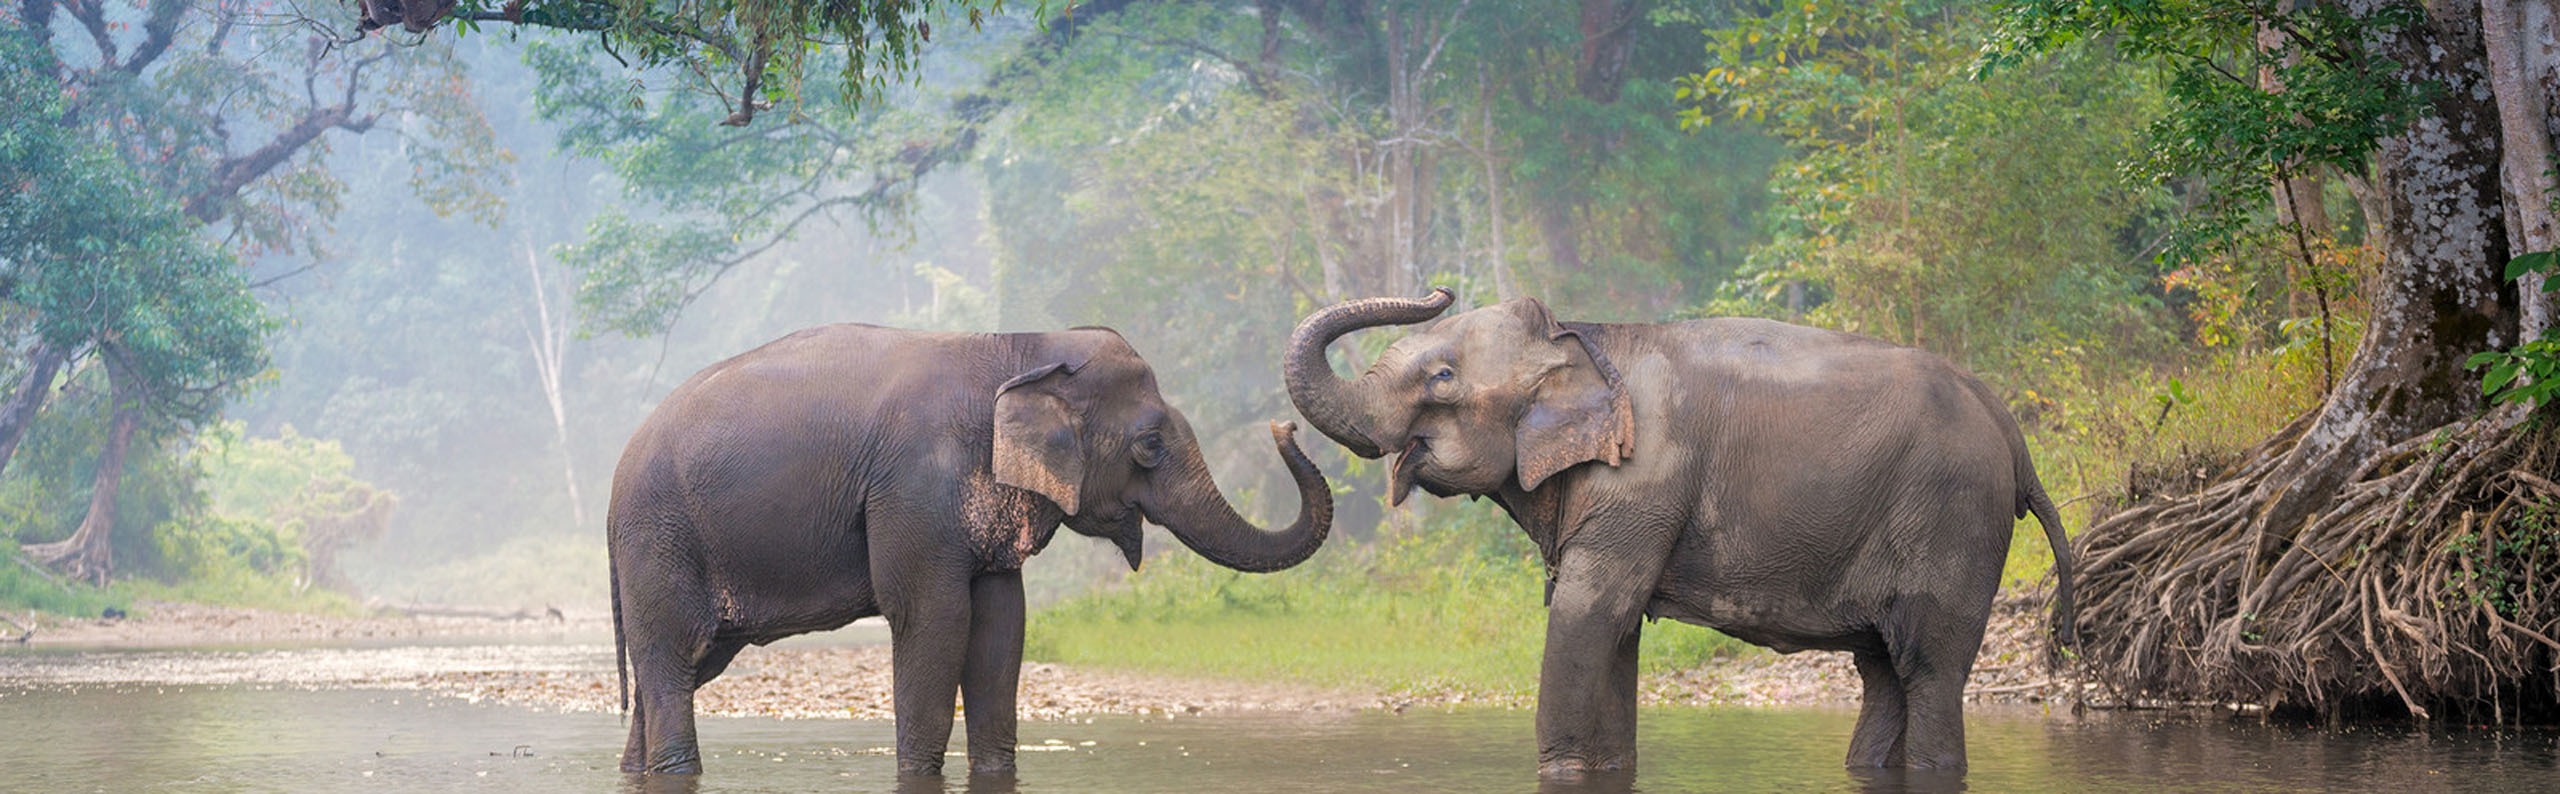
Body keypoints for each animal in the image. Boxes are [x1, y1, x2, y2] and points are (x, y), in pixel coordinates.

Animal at [608, 323, 1332, 776]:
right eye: (1150, 445)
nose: (1285, 427)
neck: (1019, 346)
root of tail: (616, 475)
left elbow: (1001, 625)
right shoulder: (915, 486)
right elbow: (933, 618)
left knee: (682, 667)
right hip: (661, 539)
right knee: (673, 657)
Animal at [1283, 289, 2074, 775]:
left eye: (1442, 376)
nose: (1439, 288)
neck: (1585, 338)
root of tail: (2014, 435)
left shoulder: (1642, 483)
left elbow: (1588, 617)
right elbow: (1614, 633)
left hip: (1953, 517)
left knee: (1927, 668)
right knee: (1882, 671)